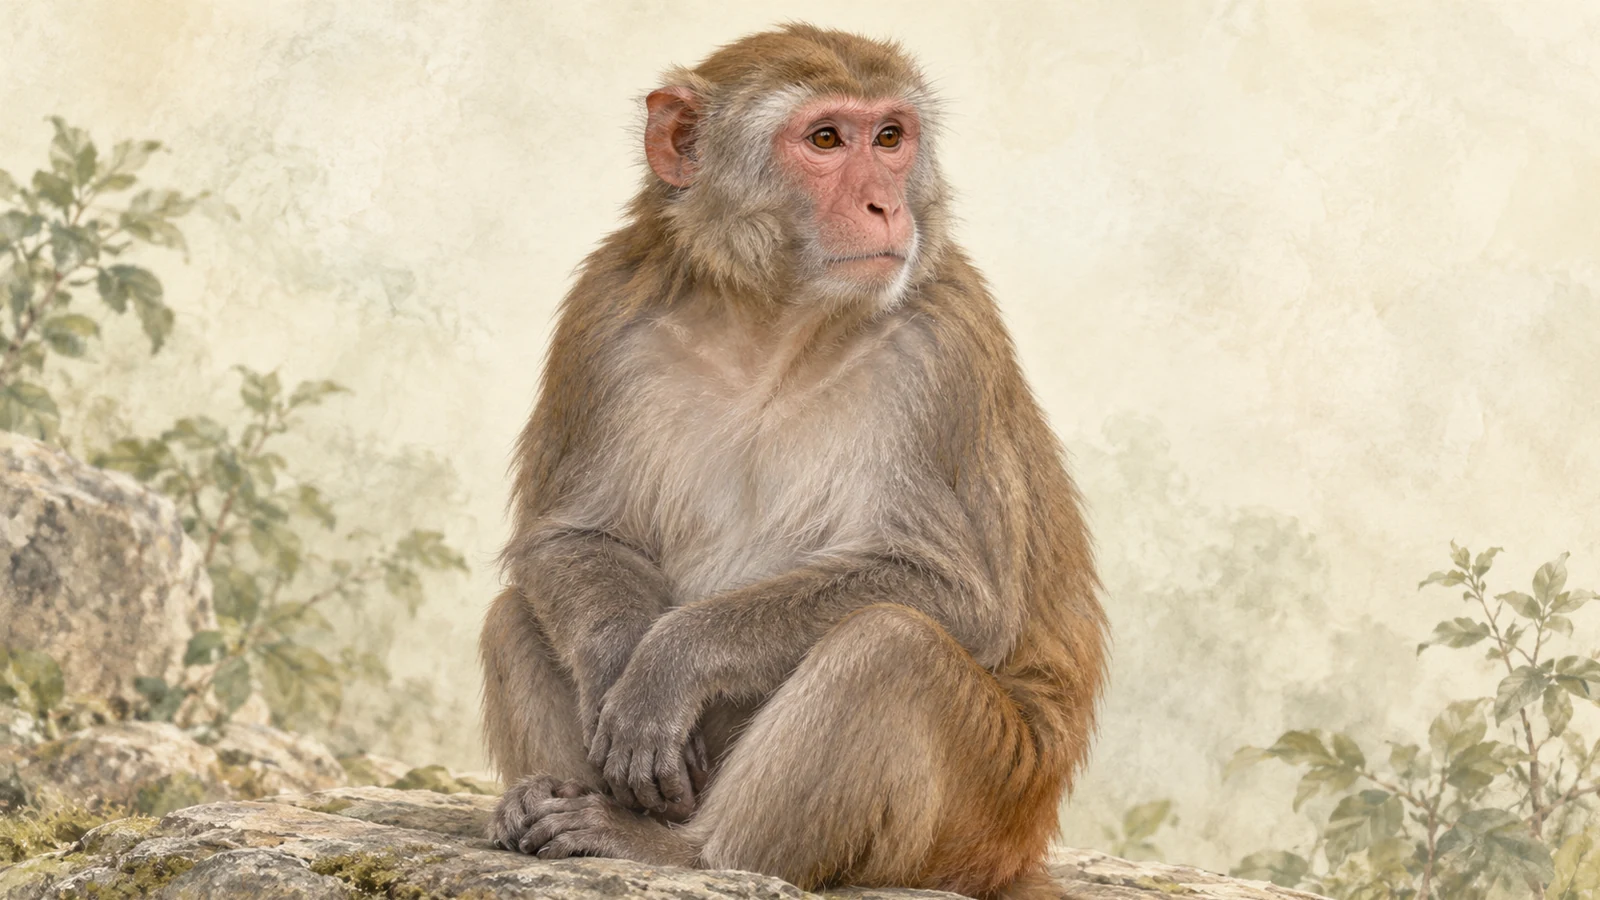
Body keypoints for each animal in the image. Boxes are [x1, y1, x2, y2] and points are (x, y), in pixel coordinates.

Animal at [479, 23, 1108, 900]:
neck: (771, 320)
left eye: (889, 138)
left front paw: (671, 663)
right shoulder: (602, 312)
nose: (885, 204)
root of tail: (1020, 853)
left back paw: (678, 852)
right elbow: (570, 540)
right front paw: (617, 664)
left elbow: (957, 593)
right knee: (517, 612)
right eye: (826, 140)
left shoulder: (944, 347)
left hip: (981, 811)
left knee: (891, 644)